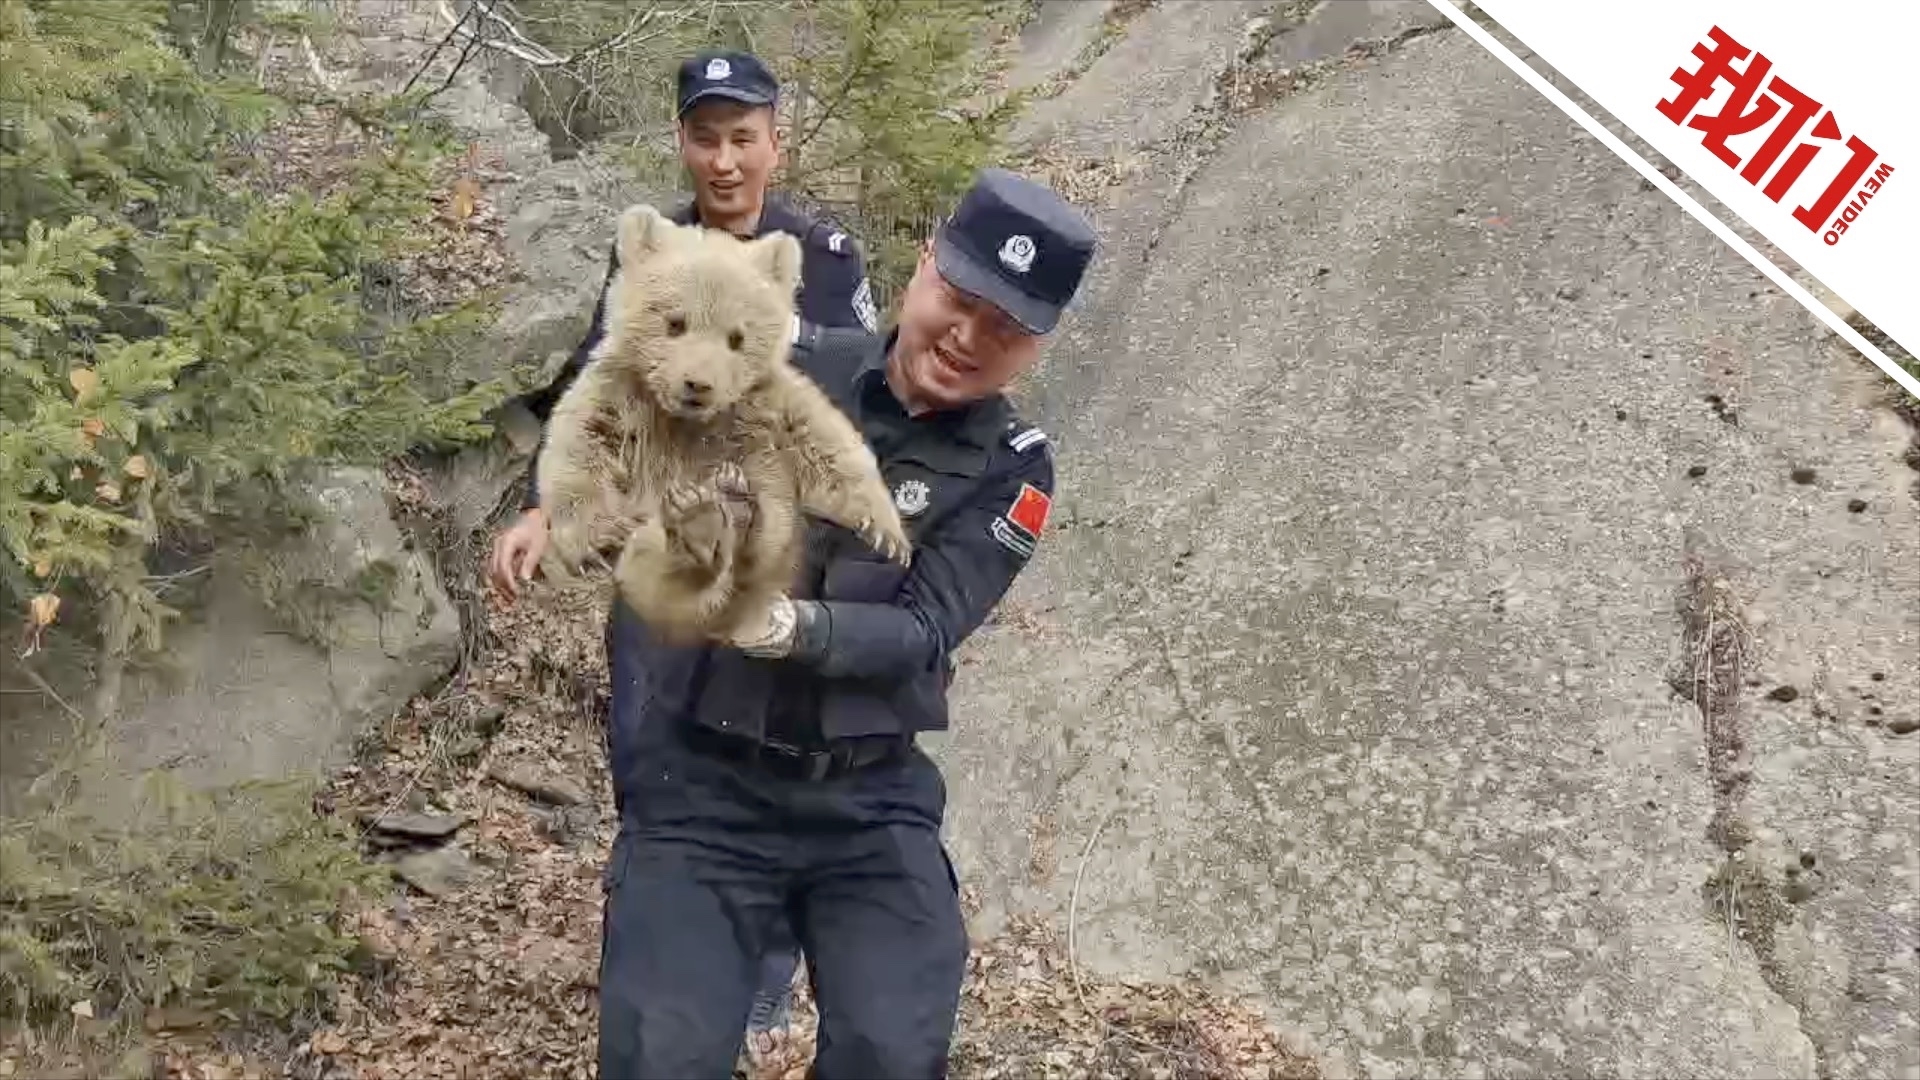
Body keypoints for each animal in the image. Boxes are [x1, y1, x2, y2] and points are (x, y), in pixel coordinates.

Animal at [534, 202, 911, 645]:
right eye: (675, 322)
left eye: (737, 338)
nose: (698, 384)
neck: (687, 421)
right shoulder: (623, 392)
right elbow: (581, 438)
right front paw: (594, 538)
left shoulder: (764, 401)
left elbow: (825, 439)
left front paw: (889, 535)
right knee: (661, 573)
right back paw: (699, 524)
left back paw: (729, 511)